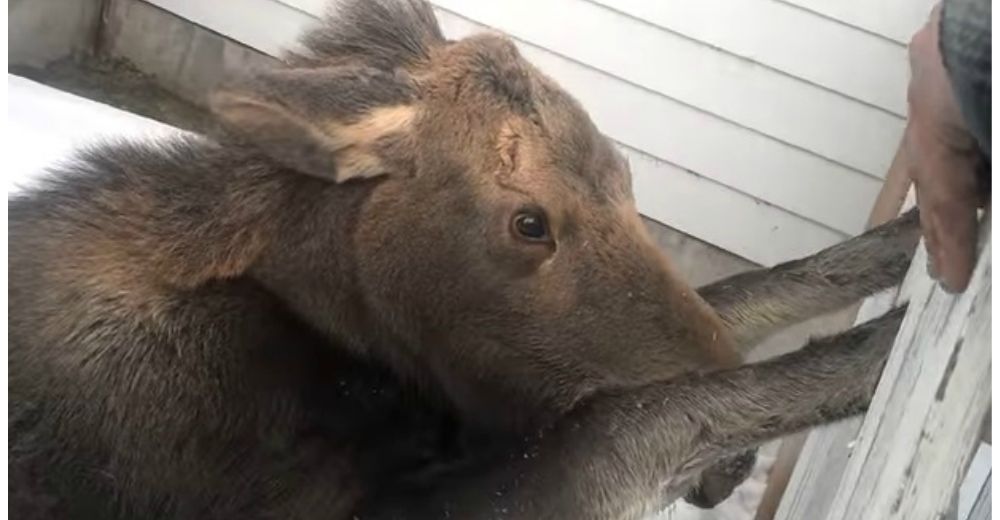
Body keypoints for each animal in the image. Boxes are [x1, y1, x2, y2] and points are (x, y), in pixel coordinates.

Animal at [7, 2, 916, 516]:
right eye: (529, 223)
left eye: (627, 178)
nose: (733, 472)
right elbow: (637, 417)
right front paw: (876, 351)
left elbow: (751, 293)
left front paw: (909, 242)